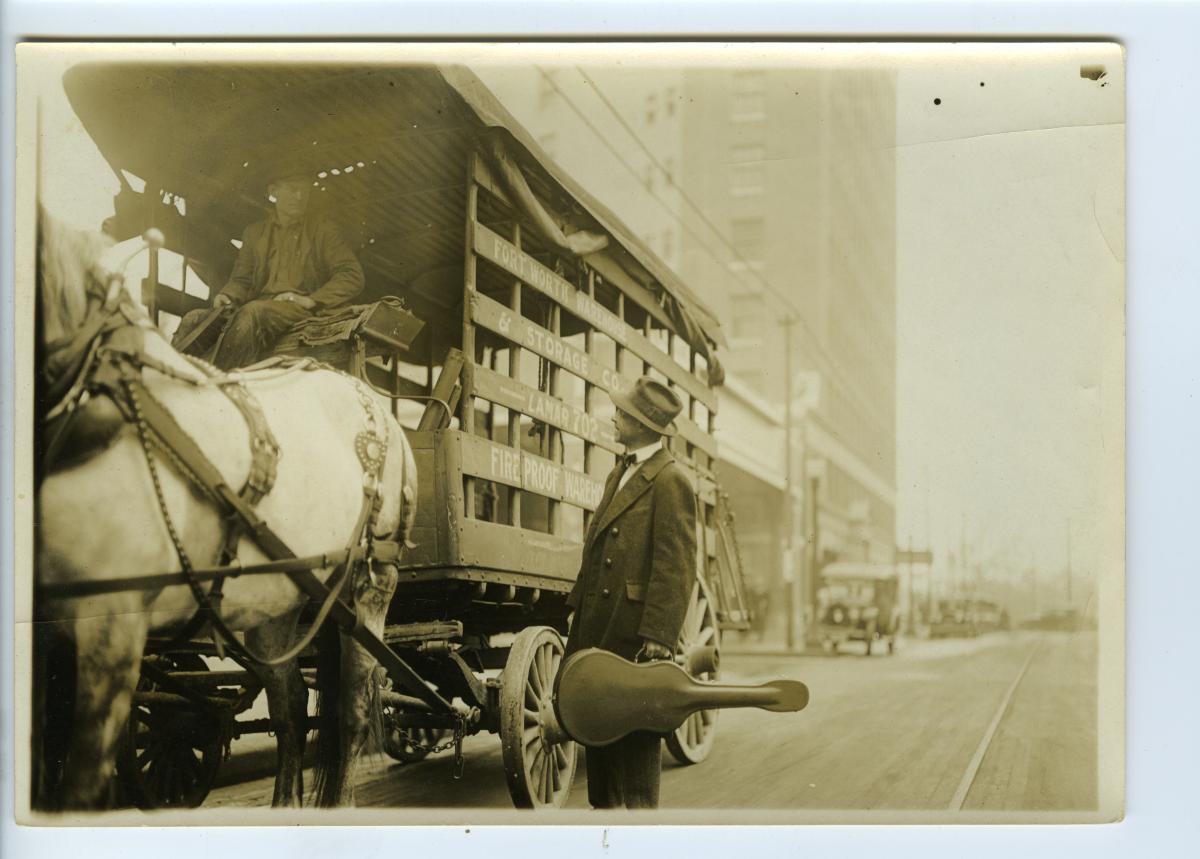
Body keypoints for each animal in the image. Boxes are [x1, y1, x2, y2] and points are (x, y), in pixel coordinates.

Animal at [32, 209, 417, 811]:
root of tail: (378, 406)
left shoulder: (113, 624)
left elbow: (81, 780)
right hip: (275, 602)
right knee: (291, 706)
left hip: (370, 586)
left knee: (353, 709)